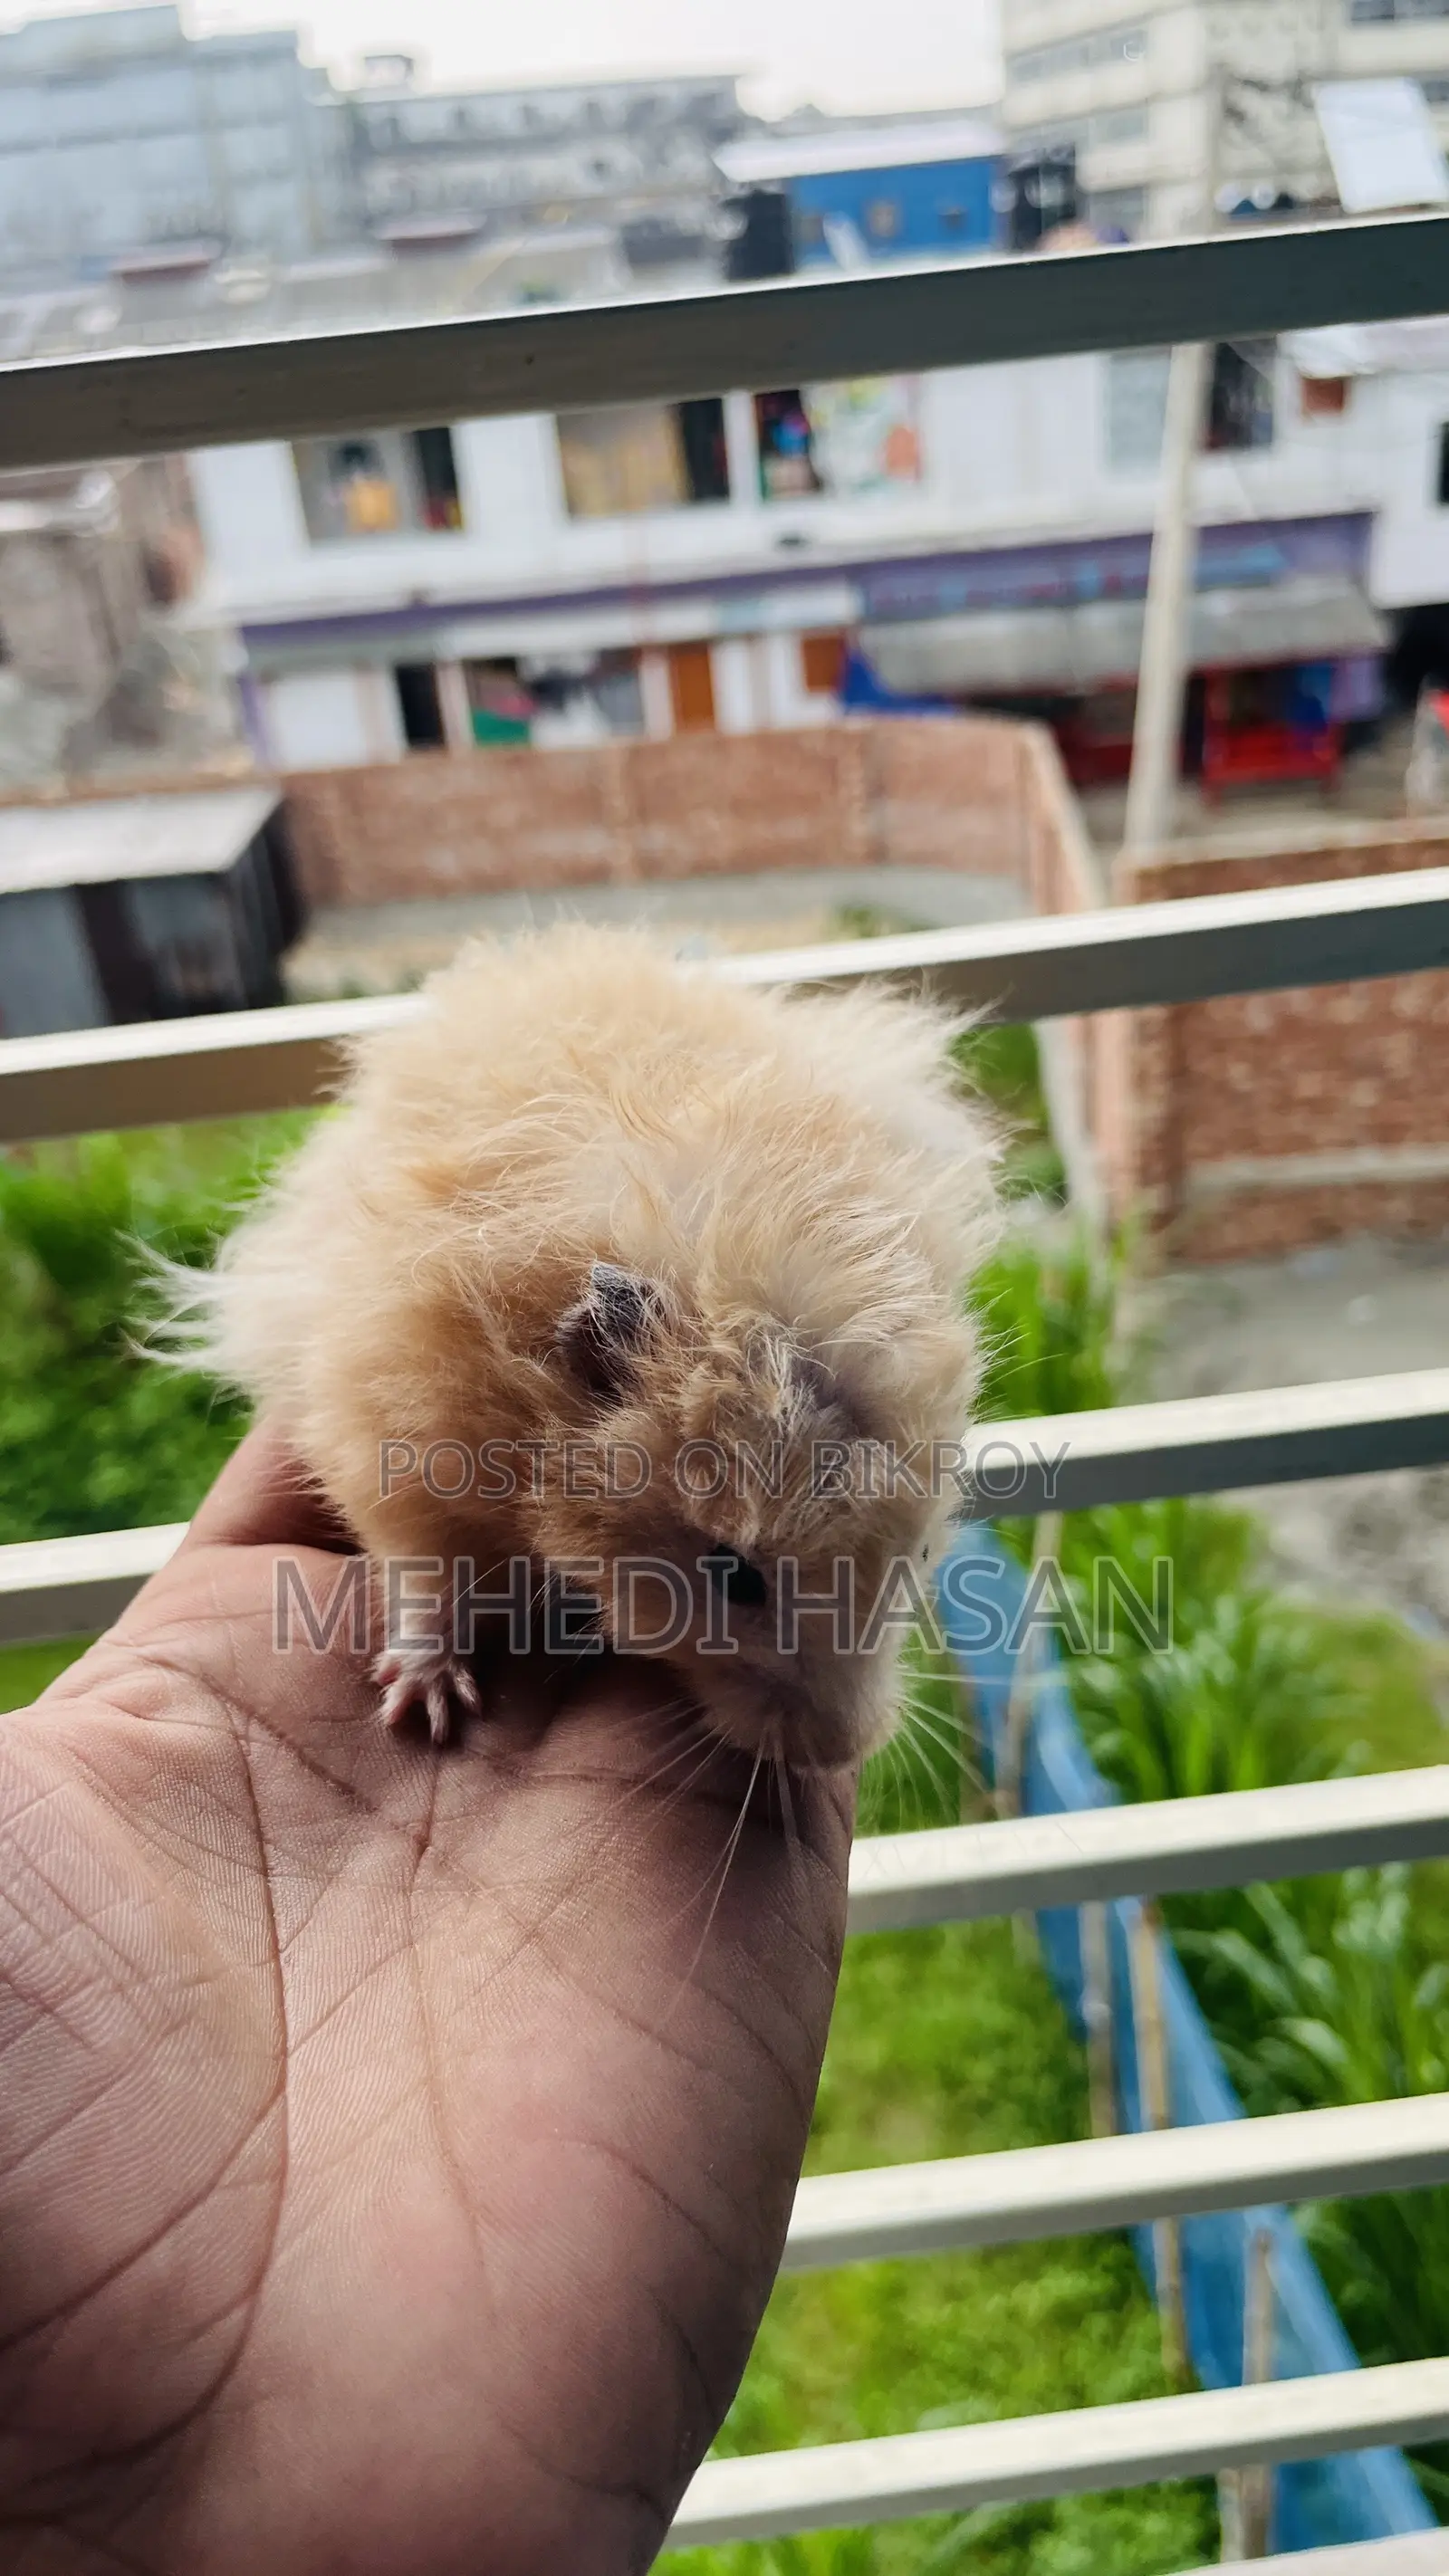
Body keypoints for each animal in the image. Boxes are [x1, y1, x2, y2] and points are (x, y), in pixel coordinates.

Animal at [178, 924, 999, 1774]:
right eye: (733, 1576)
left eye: (926, 1551)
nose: (843, 1752)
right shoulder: (389, 1443)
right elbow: (423, 1579)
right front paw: (426, 1710)